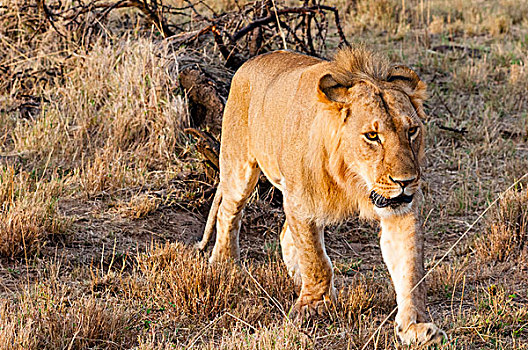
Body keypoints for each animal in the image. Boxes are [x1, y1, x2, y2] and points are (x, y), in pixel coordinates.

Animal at [198, 47, 446, 348]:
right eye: (372, 136)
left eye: (411, 131)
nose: (406, 181)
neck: (352, 178)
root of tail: (252, 61)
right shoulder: (301, 202)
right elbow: (315, 259)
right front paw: (314, 307)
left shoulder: (400, 211)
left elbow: (410, 269)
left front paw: (415, 327)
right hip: (238, 166)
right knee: (229, 212)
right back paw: (225, 263)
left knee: (284, 233)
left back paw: (295, 276)